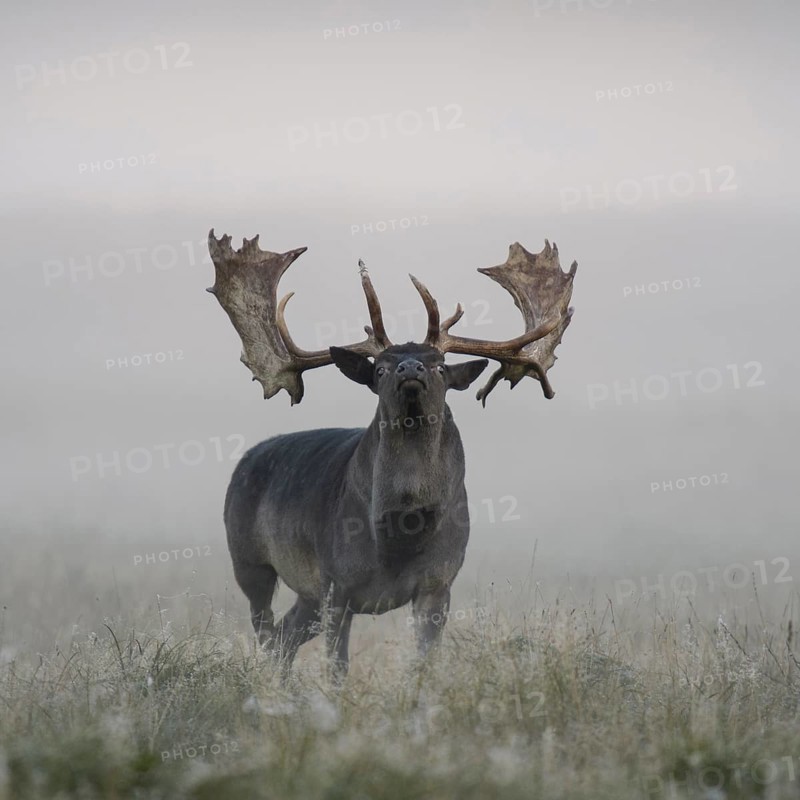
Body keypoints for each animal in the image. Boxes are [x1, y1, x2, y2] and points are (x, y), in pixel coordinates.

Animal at [207, 230, 576, 678]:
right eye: (380, 368)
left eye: (440, 366)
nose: (409, 368)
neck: (401, 531)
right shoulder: (336, 583)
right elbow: (338, 668)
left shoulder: (439, 582)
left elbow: (423, 663)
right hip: (249, 561)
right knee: (267, 634)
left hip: (306, 593)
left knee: (284, 636)